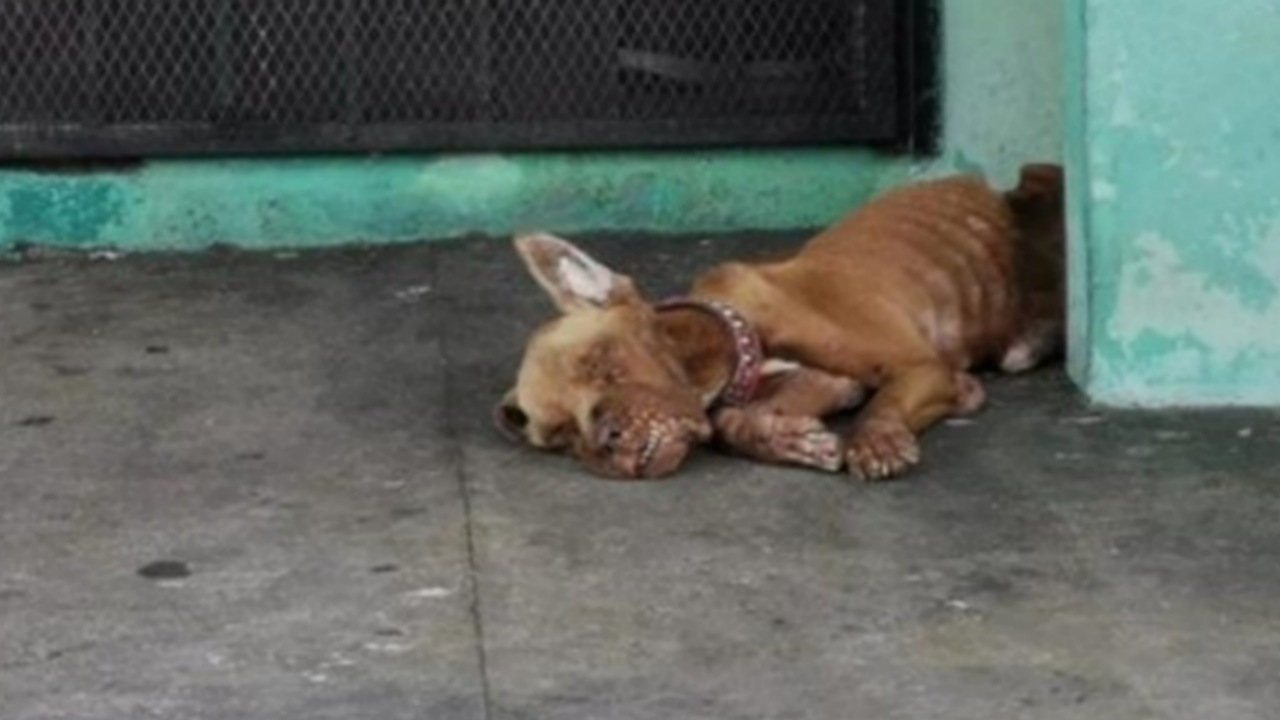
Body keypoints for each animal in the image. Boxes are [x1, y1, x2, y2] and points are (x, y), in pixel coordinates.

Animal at [494, 162, 1064, 476]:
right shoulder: (823, 384)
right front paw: (786, 440)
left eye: (605, 362)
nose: (605, 443)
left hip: (1037, 183)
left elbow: (885, 403)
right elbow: (730, 425)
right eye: (561, 435)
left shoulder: (920, 368)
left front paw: (877, 440)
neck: (735, 338)